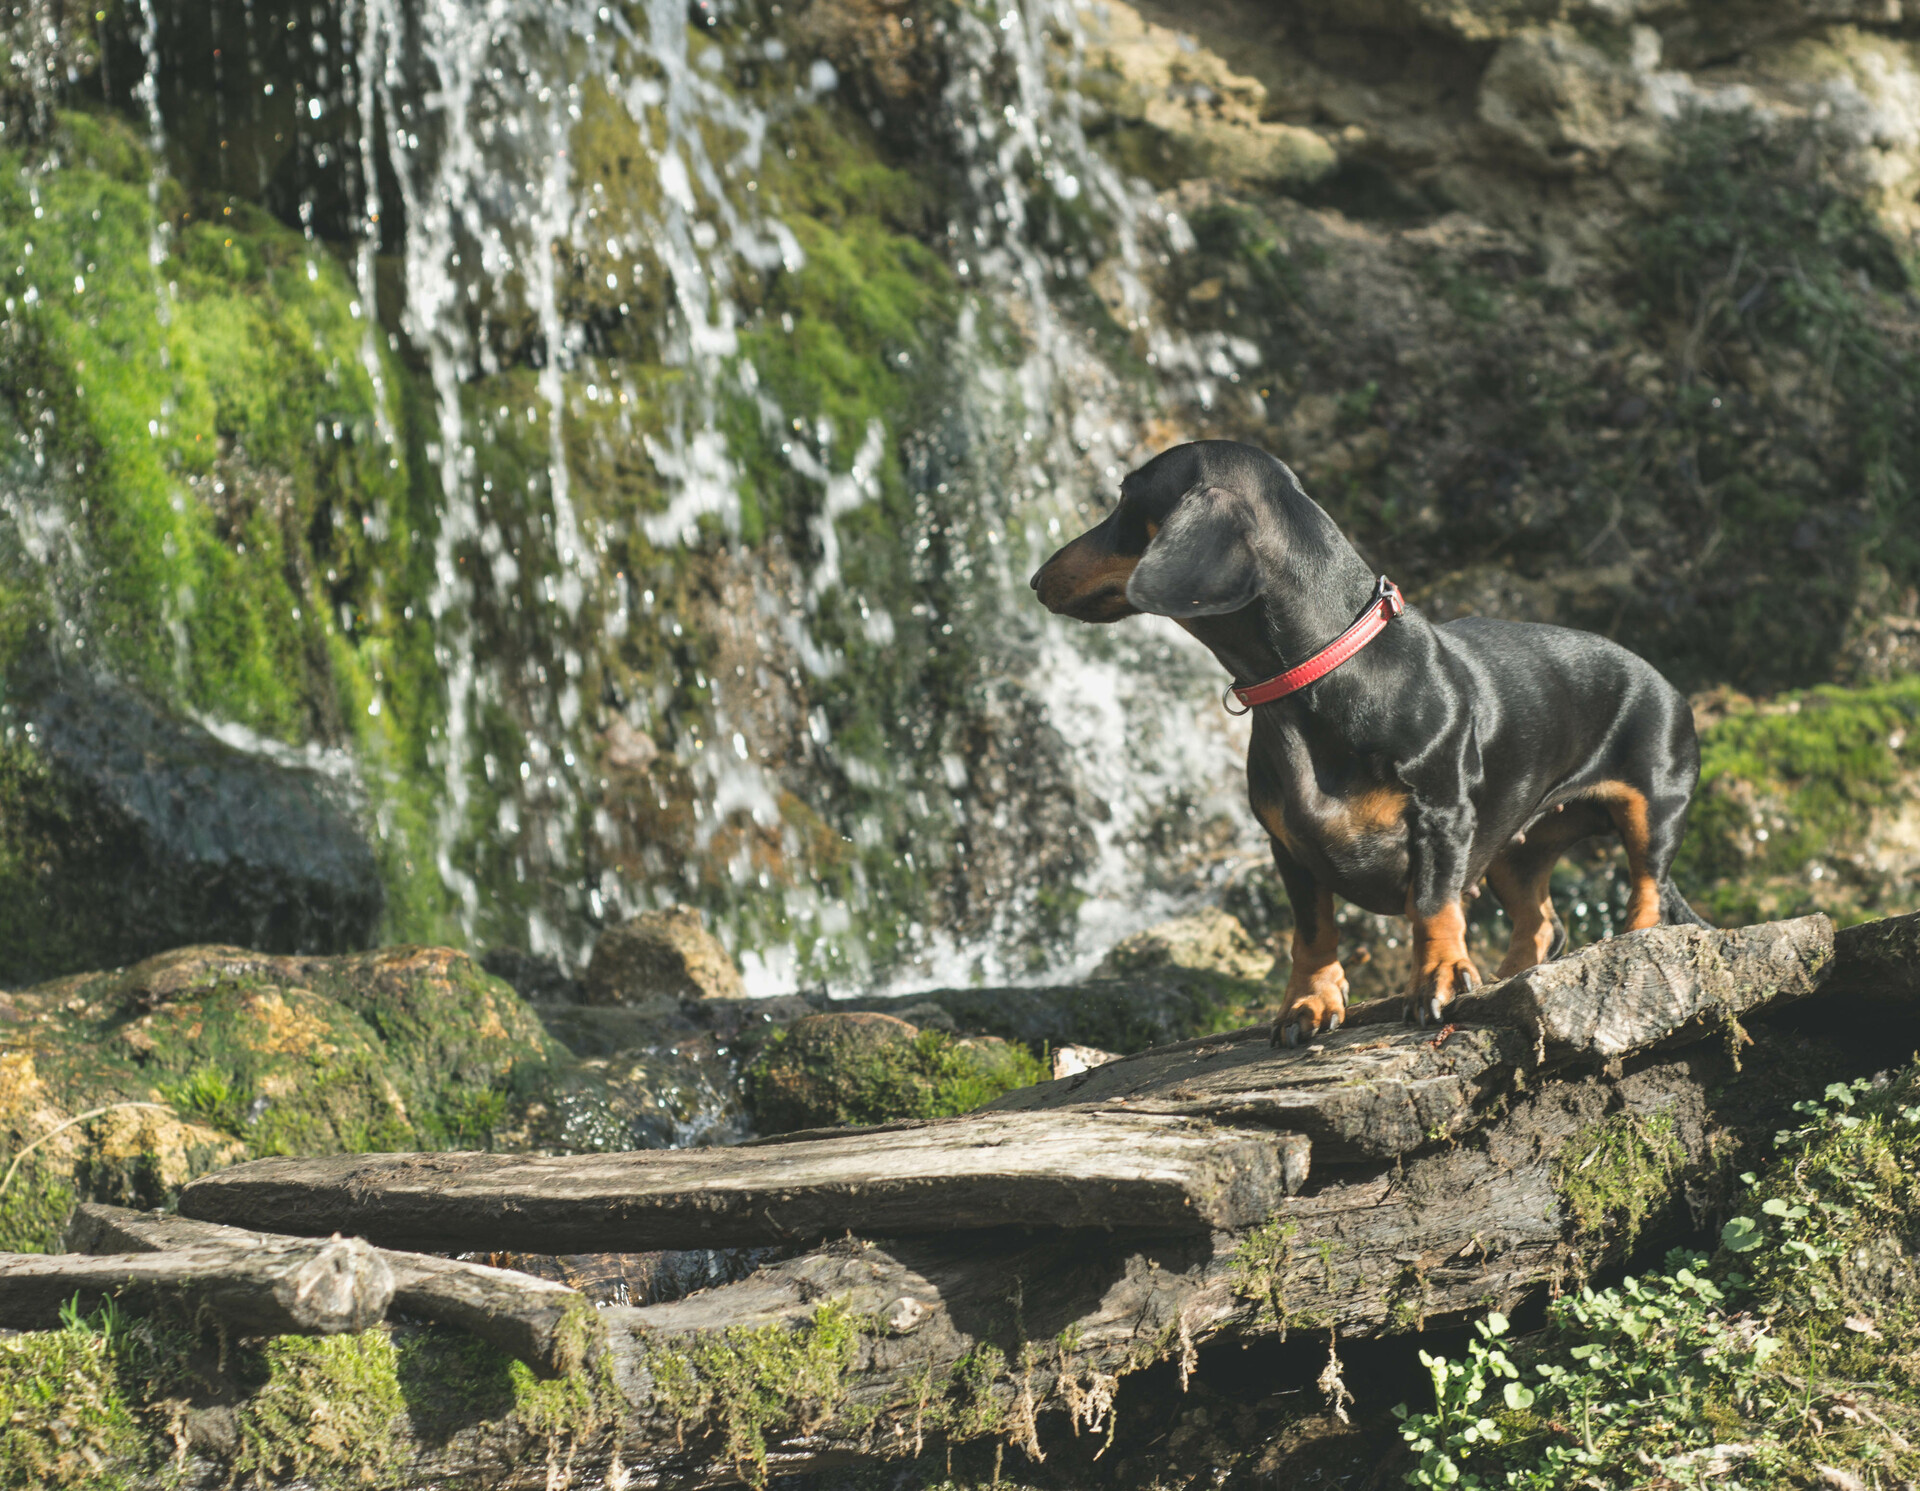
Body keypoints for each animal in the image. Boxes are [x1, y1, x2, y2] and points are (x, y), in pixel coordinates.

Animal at [1036, 435, 1712, 1043]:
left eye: (1126, 501)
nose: (1036, 579)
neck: (1321, 672)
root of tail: (1664, 681)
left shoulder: (1441, 817)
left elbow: (1433, 905)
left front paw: (1439, 978)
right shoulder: (1288, 844)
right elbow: (1312, 933)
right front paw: (1308, 1003)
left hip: (1651, 809)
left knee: (1647, 892)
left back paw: (1628, 945)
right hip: (1511, 852)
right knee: (1542, 922)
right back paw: (1506, 977)